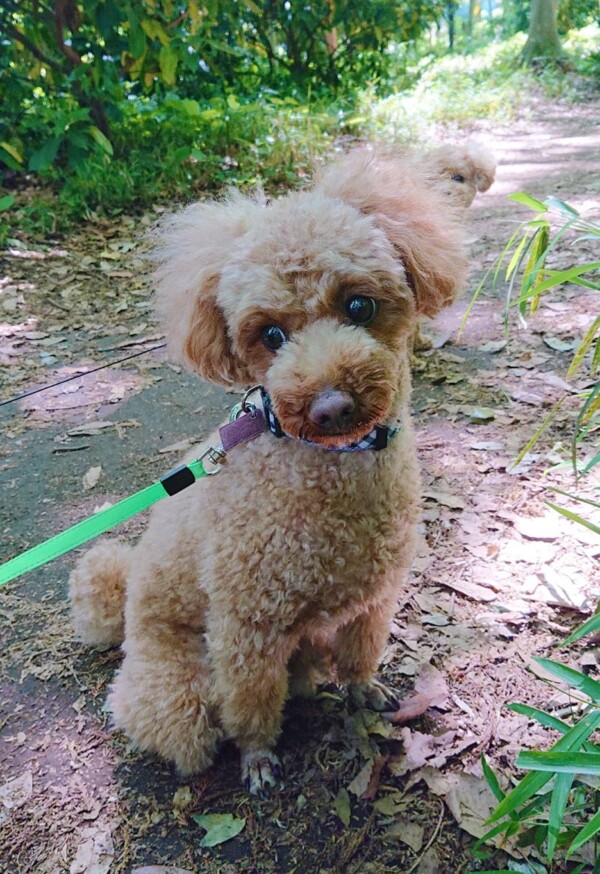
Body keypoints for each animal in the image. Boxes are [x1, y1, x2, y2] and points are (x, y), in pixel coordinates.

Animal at [69, 143, 493, 795]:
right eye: (269, 334)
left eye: (359, 304)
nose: (331, 406)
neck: (332, 468)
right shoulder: (248, 623)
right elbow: (251, 701)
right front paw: (258, 758)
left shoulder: (374, 598)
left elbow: (360, 654)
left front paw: (364, 691)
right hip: (179, 691)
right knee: (189, 721)